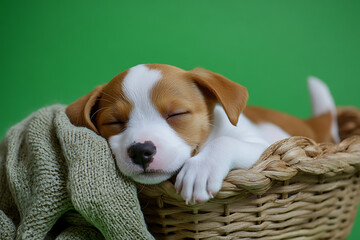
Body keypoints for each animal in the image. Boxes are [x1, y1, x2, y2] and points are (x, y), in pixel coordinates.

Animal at [66, 64, 338, 204]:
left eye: (176, 114)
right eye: (115, 122)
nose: (141, 151)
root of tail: (308, 124)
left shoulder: (265, 146)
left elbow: (225, 142)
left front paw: (201, 170)